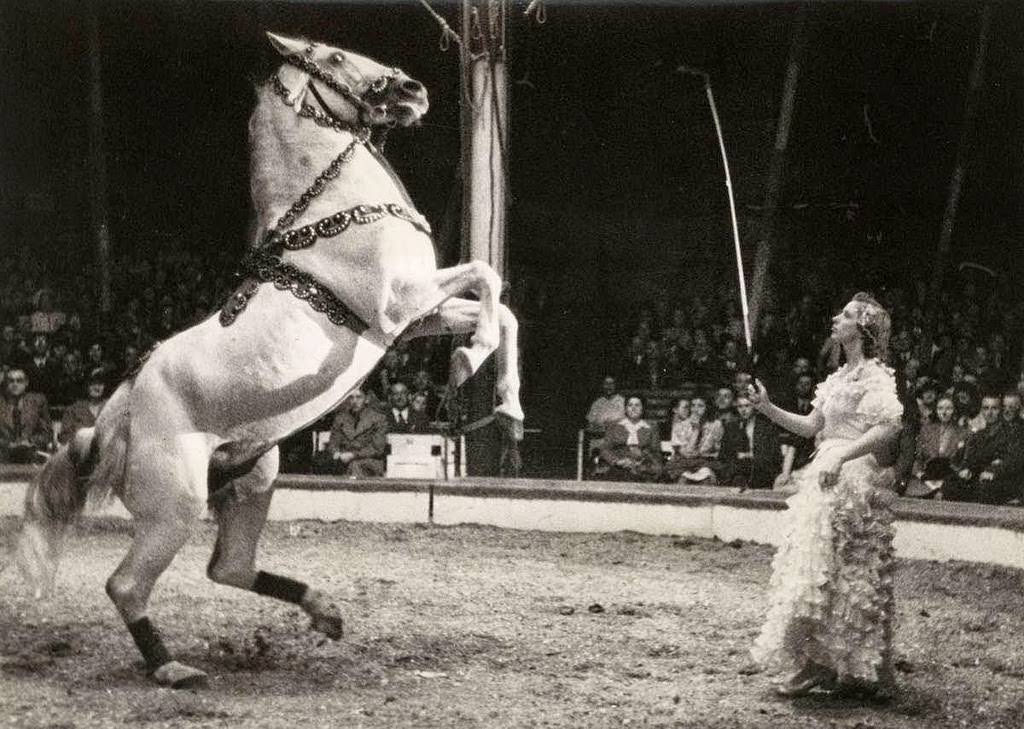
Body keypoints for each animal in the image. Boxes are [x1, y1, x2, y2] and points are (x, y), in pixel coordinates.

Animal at [14, 29, 524, 688]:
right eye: (333, 57)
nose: (414, 90)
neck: (331, 214)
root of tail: (109, 422)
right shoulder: (399, 303)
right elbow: (487, 276)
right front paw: (469, 361)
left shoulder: (409, 321)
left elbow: (501, 306)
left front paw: (506, 405)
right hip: (177, 506)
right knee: (126, 584)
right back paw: (173, 669)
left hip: (251, 480)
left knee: (227, 567)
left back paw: (325, 612)